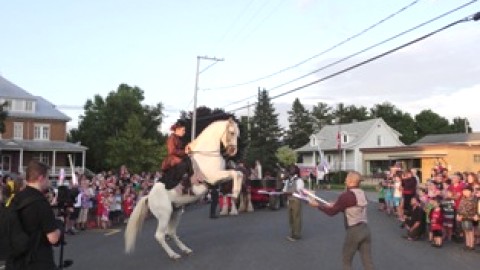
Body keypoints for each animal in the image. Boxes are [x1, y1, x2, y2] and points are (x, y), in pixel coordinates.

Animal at [124, 118, 242, 260]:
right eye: (231, 132)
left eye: (237, 134)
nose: (232, 151)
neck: (205, 156)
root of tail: (148, 197)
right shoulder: (213, 177)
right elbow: (235, 173)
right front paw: (235, 193)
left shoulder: (218, 178)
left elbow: (238, 174)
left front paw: (234, 193)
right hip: (164, 215)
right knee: (160, 236)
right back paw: (174, 255)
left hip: (175, 213)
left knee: (171, 232)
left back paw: (185, 250)